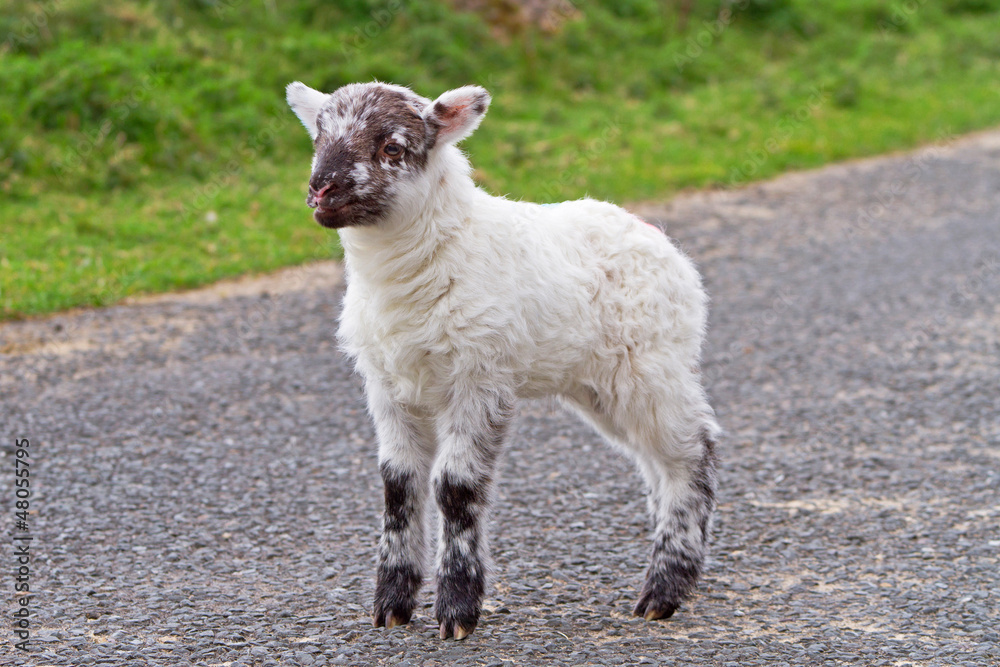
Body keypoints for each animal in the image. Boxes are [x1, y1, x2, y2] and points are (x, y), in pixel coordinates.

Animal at [285, 81, 720, 640]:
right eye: (318, 139)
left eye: (393, 148)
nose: (322, 191)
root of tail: (655, 235)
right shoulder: (387, 385)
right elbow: (398, 486)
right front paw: (392, 605)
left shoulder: (480, 376)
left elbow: (455, 486)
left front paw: (457, 608)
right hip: (599, 385)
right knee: (658, 461)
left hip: (650, 364)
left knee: (694, 452)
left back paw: (664, 590)